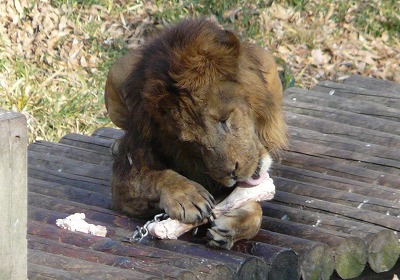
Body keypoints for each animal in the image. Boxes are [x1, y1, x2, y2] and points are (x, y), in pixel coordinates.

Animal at [104, 18, 286, 249]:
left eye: (224, 119)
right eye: (192, 142)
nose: (231, 173)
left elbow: (253, 207)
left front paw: (233, 227)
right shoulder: (126, 174)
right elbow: (152, 177)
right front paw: (187, 196)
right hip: (116, 73)